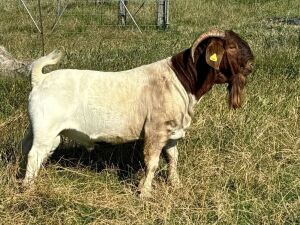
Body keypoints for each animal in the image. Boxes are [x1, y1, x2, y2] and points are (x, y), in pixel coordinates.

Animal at [21, 29, 253, 197]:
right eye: (231, 46)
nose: (252, 64)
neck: (181, 80)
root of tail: (40, 79)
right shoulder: (155, 130)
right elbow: (152, 162)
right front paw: (144, 193)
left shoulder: (172, 132)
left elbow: (173, 158)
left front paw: (175, 185)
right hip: (46, 127)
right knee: (34, 154)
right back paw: (28, 188)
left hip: (39, 128)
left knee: (28, 148)